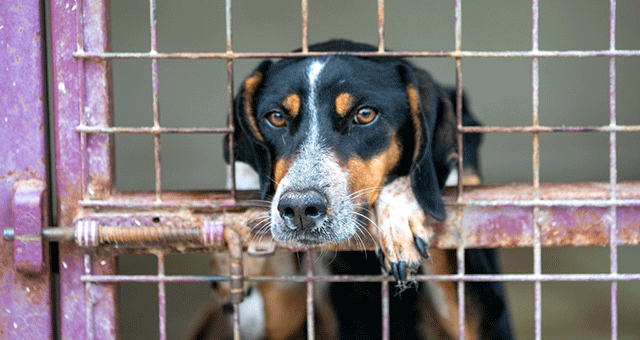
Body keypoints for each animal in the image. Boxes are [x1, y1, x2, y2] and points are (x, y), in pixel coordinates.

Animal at [221, 40, 516, 340]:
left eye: (365, 115)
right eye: (276, 117)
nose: (299, 208)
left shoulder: (483, 316)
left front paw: (399, 220)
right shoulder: (282, 315)